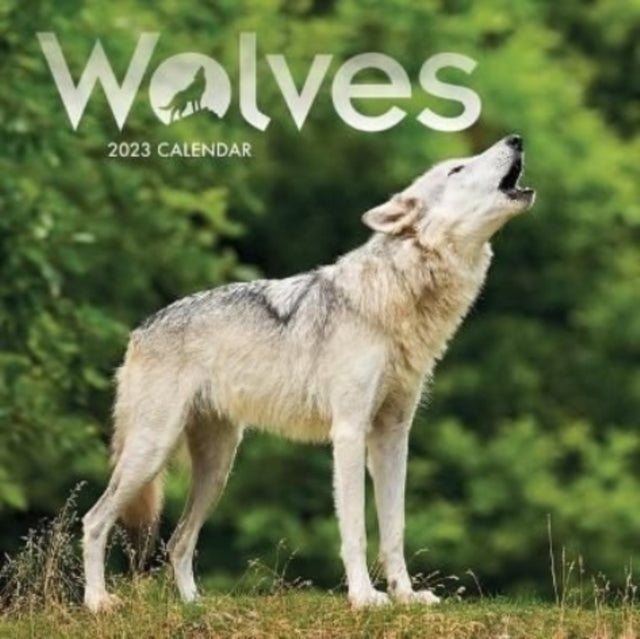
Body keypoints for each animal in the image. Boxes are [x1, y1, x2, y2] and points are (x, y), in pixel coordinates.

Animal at [83, 135, 535, 612]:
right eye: (457, 169)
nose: (515, 139)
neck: (399, 297)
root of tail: (138, 330)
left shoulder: (393, 435)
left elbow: (394, 529)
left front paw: (405, 596)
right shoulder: (350, 432)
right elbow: (355, 529)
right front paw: (364, 597)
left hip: (218, 468)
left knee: (178, 541)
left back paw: (194, 606)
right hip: (152, 452)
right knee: (94, 521)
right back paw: (98, 602)